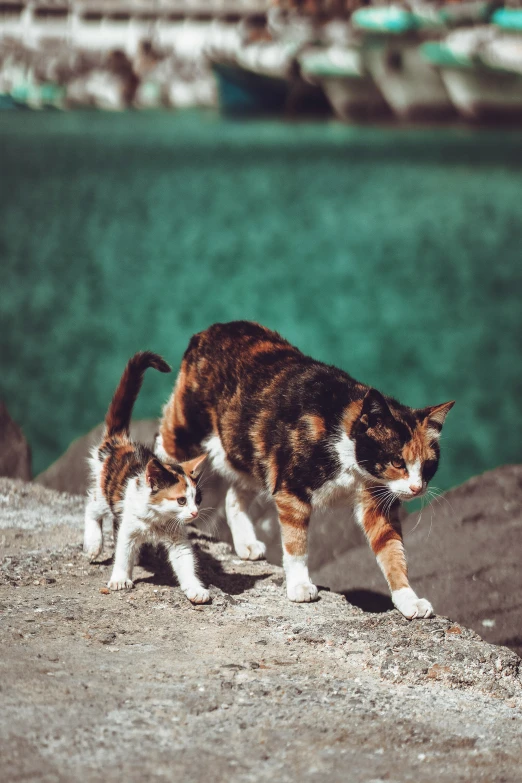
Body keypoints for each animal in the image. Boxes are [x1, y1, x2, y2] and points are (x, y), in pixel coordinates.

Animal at [82, 352, 208, 604]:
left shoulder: (177, 537)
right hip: (105, 492)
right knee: (91, 507)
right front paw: (120, 577)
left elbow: (185, 561)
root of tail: (119, 441)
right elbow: (123, 551)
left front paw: (195, 588)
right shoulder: (130, 526)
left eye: (197, 499)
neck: (158, 519)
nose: (194, 513)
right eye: (181, 500)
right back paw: (93, 543)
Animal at [156, 322, 452, 620]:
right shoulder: (291, 491)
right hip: (185, 431)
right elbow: (296, 544)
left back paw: (246, 543)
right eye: (397, 462)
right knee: (163, 447)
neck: (346, 446)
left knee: (233, 497)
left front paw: (408, 599)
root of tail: (213, 329)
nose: (417, 488)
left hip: (250, 454)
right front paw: (299, 585)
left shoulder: (377, 504)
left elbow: (393, 551)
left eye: (428, 465)